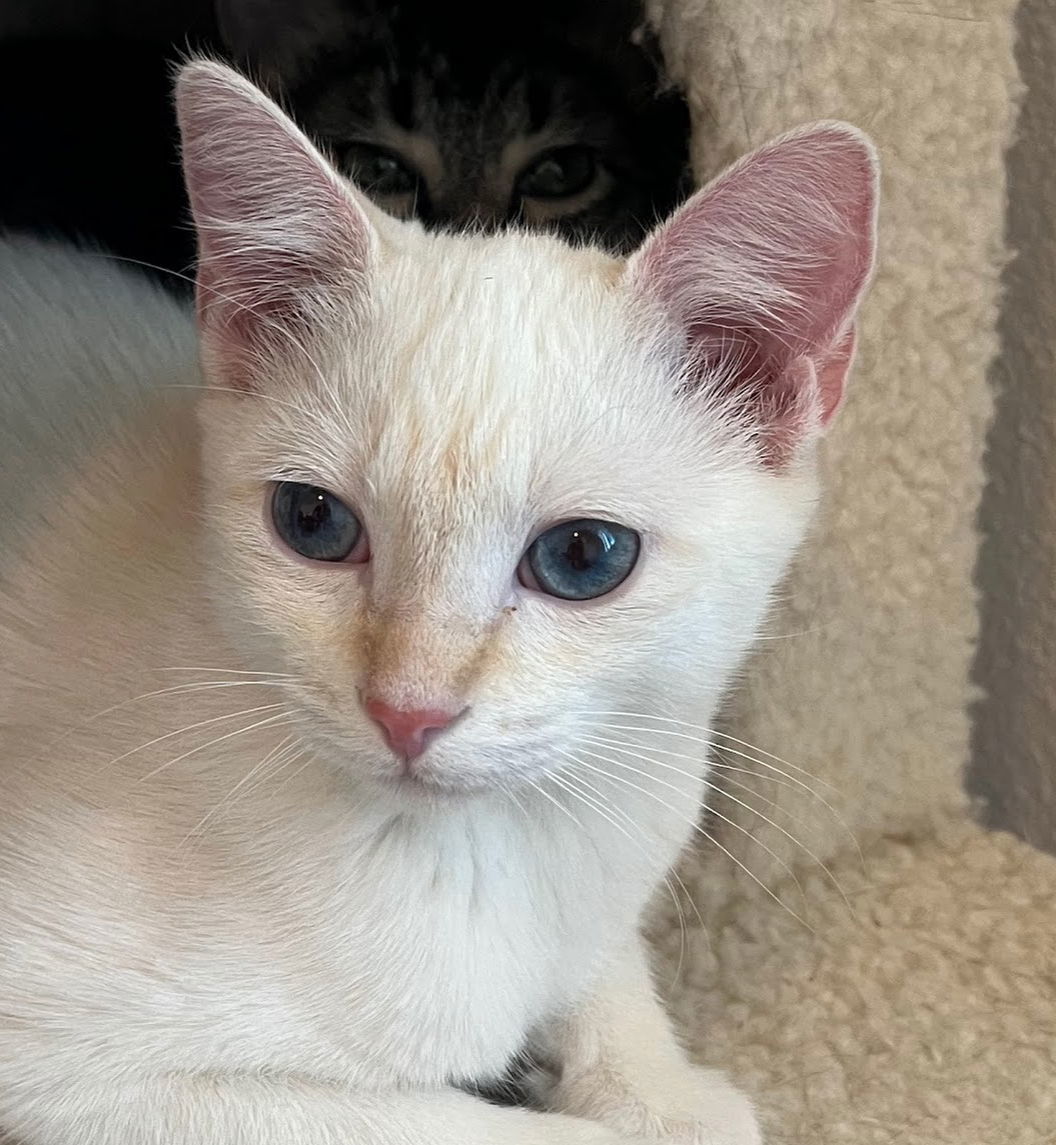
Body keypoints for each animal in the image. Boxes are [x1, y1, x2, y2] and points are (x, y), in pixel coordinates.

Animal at [0, 60, 870, 1145]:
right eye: (313, 522)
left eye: (583, 555)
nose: (405, 711)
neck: (494, 850)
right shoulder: (68, 1063)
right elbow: (438, 1116)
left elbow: (604, 970)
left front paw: (658, 1085)